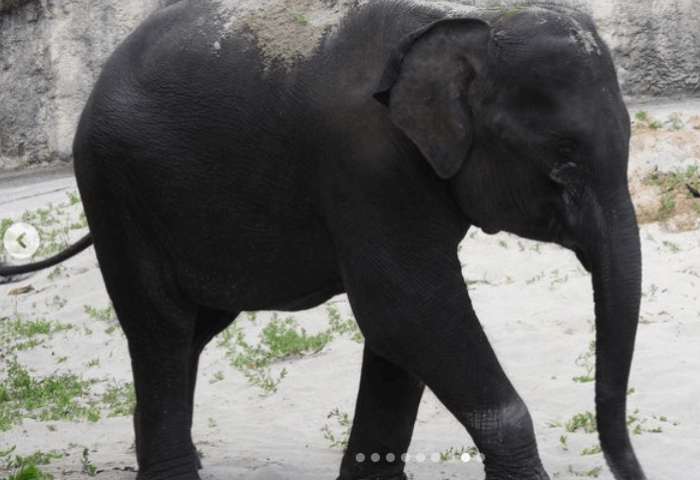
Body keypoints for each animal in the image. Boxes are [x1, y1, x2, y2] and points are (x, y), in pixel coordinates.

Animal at [0, 0, 644, 480]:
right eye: (563, 158)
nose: (631, 470)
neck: (468, 21)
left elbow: (399, 331)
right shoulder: (364, 162)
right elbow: (406, 309)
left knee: (194, 328)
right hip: (116, 188)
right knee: (160, 325)